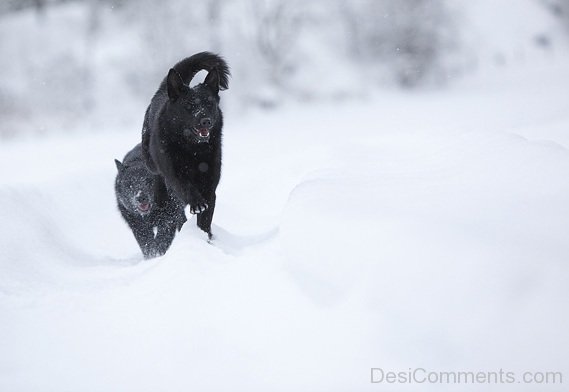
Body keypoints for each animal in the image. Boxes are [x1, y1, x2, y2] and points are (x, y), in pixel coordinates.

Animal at [141, 51, 229, 239]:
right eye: (190, 105)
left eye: (209, 103)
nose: (206, 121)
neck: (193, 150)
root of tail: (164, 90)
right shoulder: (174, 173)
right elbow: (185, 186)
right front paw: (196, 203)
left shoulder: (210, 185)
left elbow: (205, 219)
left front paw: (206, 237)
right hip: (150, 159)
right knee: (157, 175)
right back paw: (160, 196)